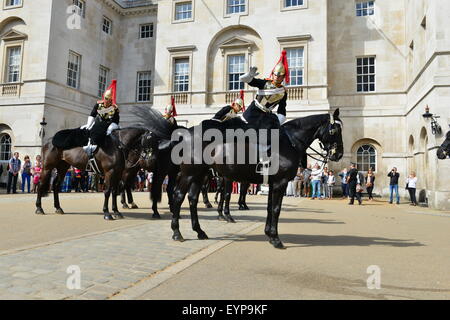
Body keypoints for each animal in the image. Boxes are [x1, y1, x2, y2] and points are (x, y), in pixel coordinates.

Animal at [165, 109, 344, 249]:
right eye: (335, 130)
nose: (339, 154)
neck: (289, 142)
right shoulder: (280, 183)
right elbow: (276, 209)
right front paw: (276, 239)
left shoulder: (272, 184)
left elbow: (270, 208)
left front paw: (269, 234)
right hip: (190, 174)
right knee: (178, 196)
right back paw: (177, 232)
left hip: (199, 175)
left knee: (192, 198)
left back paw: (199, 231)